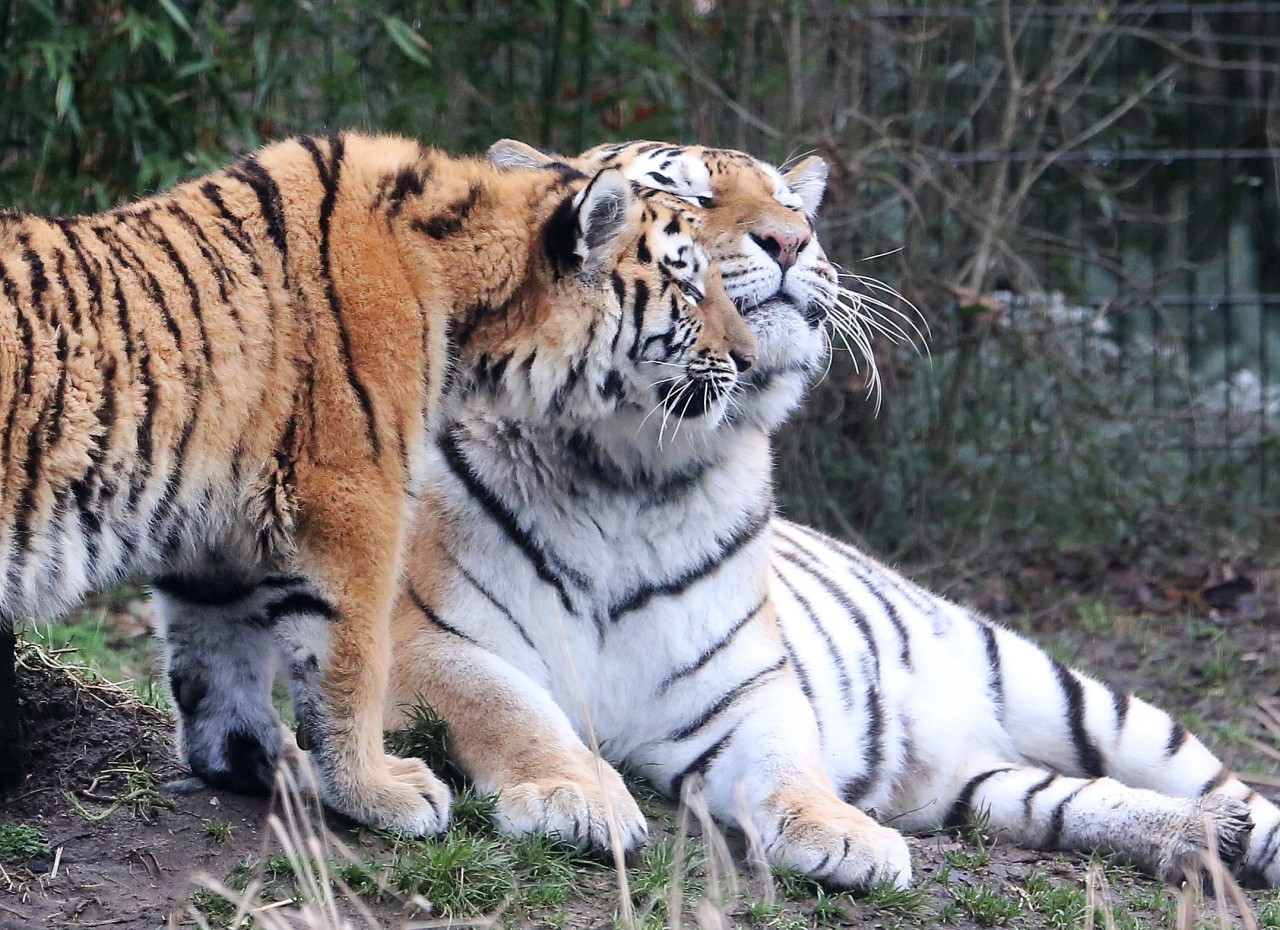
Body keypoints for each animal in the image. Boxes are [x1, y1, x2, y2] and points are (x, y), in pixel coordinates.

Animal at [0, 131, 757, 839]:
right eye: (691, 289)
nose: (750, 359)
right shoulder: (354, 498)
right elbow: (352, 659)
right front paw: (379, 792)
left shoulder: (215, 526)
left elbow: (216, 651)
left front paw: (250, 762)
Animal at [373, 141, 1274, 890]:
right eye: (682, 194)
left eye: (789, 204)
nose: (790, 241)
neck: (639, 467)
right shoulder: (431, 641)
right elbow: (511, 709)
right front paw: (575, 798)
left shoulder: (746, 689)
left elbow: (788, 761)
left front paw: (843, 835)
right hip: (985, 786)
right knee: (1073, 801)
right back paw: (1203, 841)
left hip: (1061, 692)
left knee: (1210, 775)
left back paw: (1241, 830)